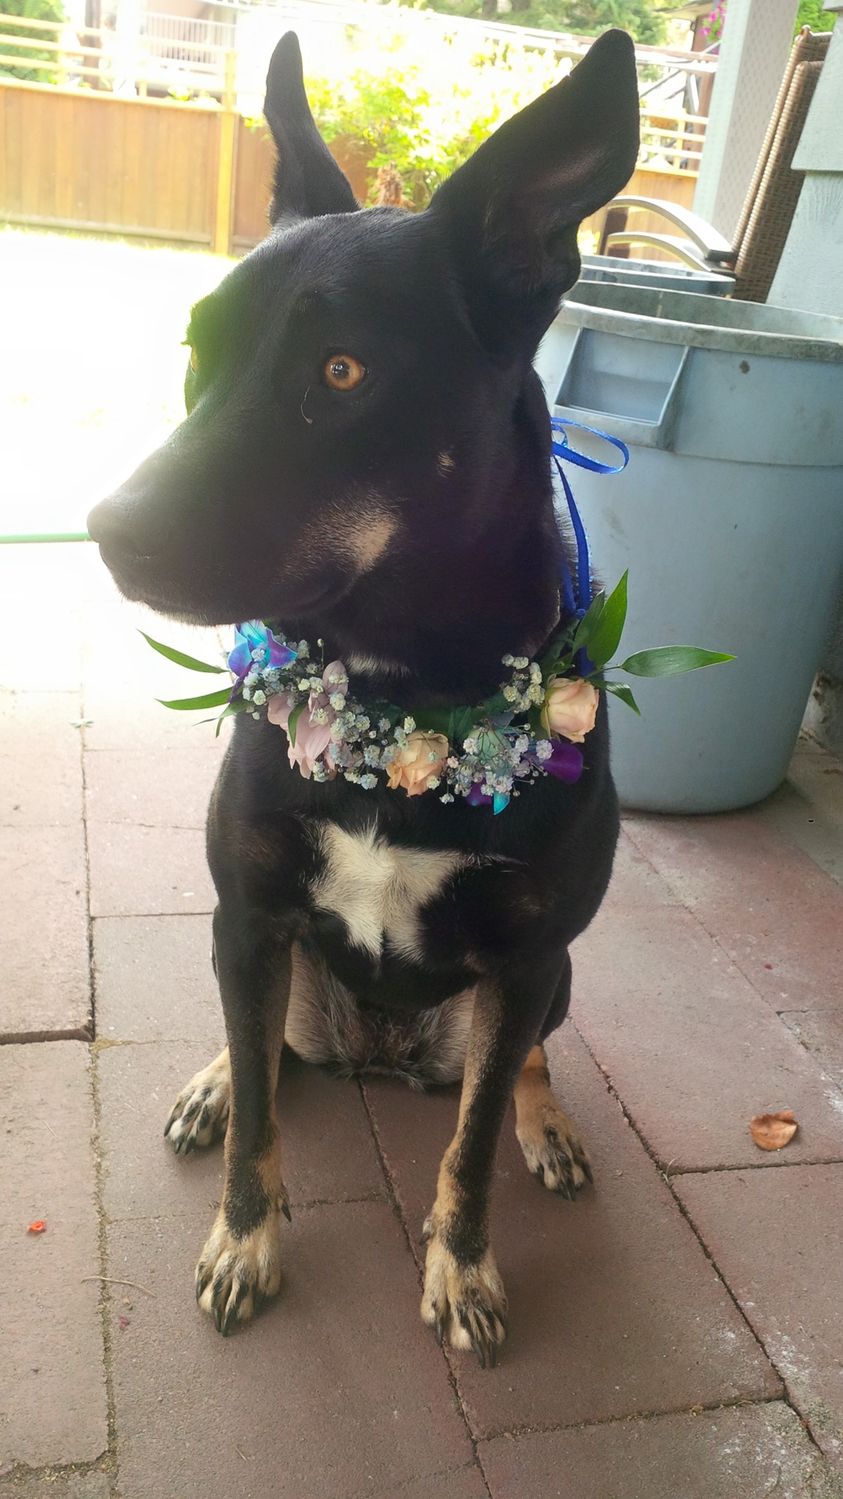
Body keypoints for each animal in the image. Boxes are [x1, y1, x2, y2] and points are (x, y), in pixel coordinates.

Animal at [87, 29, 636, 1367]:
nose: (105, 530)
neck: (400, 703)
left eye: (342, 372)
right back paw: (217, 1078)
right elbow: (258, 1126)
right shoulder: (249, 911)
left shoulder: (529, 952)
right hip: (256, 949)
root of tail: (383, 1056)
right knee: (264, 1050)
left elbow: (472, 1148)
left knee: (518, 1063)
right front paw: (246, 1237)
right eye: (197, 351)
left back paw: (546, 1120)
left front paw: (464, 1262)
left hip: (550, 980)